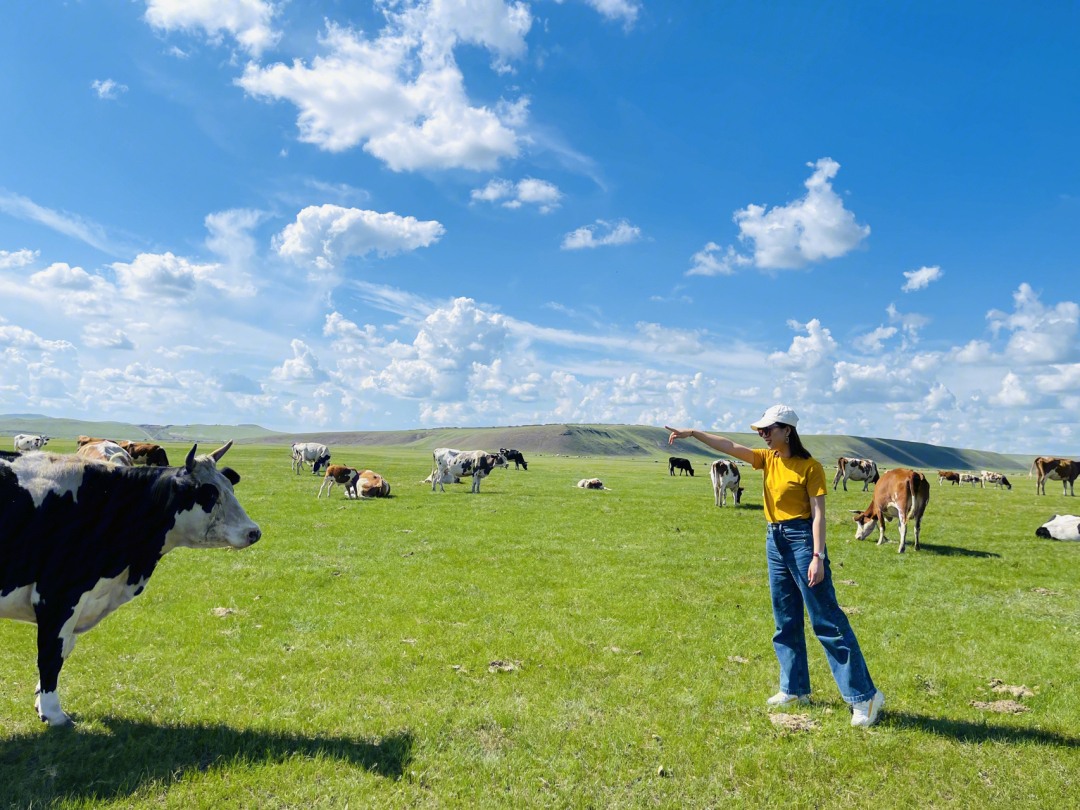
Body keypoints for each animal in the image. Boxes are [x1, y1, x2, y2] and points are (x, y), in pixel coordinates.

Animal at [0, 444, 259, 730]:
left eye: (230, 488)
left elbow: (64, 649)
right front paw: (54, 713)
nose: (254, 532)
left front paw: (40, 702)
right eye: (210, 494)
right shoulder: (58, 595)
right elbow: (51, 654)